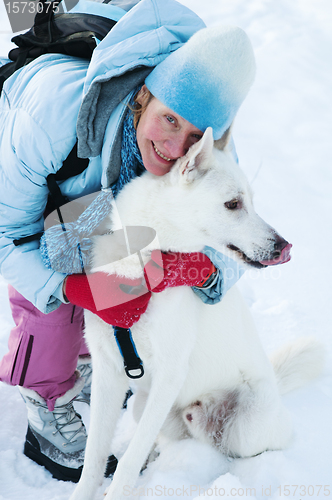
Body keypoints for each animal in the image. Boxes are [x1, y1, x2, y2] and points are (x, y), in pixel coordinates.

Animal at [70, 127, 324, 500]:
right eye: (233, 204)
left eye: (252, 200)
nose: (284, 247)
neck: (144, 262)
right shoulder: (108, 370)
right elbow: (94, 458)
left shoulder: (169, 372)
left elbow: (128, 461)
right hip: (141, 406)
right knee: (162, 438)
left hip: (246, 429)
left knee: (233, 448)